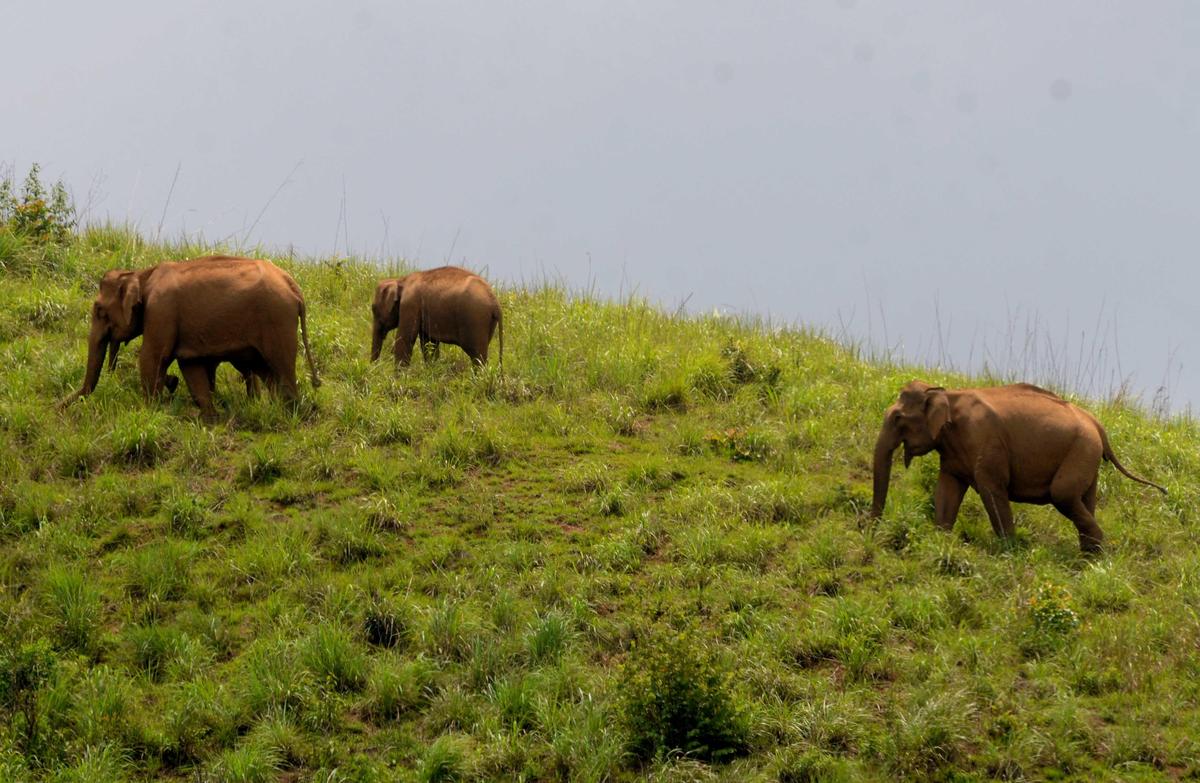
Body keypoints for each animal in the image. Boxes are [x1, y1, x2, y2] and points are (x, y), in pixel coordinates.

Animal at [61, 255, 320, 417]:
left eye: (99, 310)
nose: (58, 408)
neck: (142, 274)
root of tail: (293, 286)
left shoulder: (161, 311)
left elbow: (151, 358)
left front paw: (149, 411)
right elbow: (190, 366)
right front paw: (210, 419)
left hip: (277, 321)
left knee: (281, 368)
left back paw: (292, 414)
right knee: (267, 371)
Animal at [369, 266, 503, 368]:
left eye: (373, 309)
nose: (375, 367)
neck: (401, 280)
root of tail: (495, 302)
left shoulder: (410, 304)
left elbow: (405, 339)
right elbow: (429, 342)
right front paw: (431, 369)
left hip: (475, 319)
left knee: (477, 355)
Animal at [870, 380, 1166, 552]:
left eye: (897, 418)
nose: (870, 531)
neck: (945, 392)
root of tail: (1097, 424)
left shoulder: (986, 442)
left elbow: (991, 490)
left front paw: (1009, 550)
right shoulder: (952, 454)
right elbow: (947, 491)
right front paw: (940, 539)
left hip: (1081, 450)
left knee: (1062, 494)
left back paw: (1096, 554)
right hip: (1087, 457)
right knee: (1084, 499)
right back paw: (1089, 558)